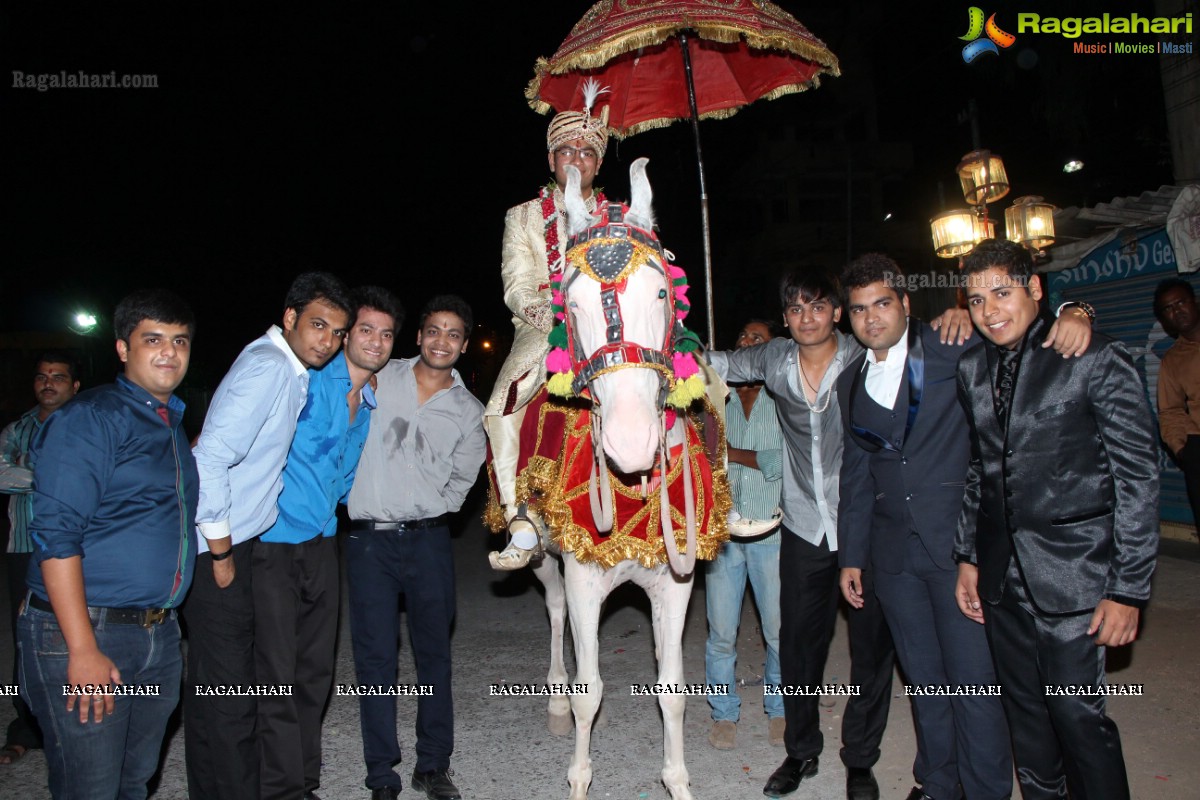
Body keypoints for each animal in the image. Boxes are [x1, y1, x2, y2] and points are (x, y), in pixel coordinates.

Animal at [511, 158, 724, 800]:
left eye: (661, 290)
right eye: (571, 302)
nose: (629, 444)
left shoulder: (675, 583)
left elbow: (672, 693)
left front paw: (677, 781)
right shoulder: (584, 577)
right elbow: (590, 692)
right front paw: (579, 778)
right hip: (544, 552)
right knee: (554, 611)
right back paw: (555, 697)